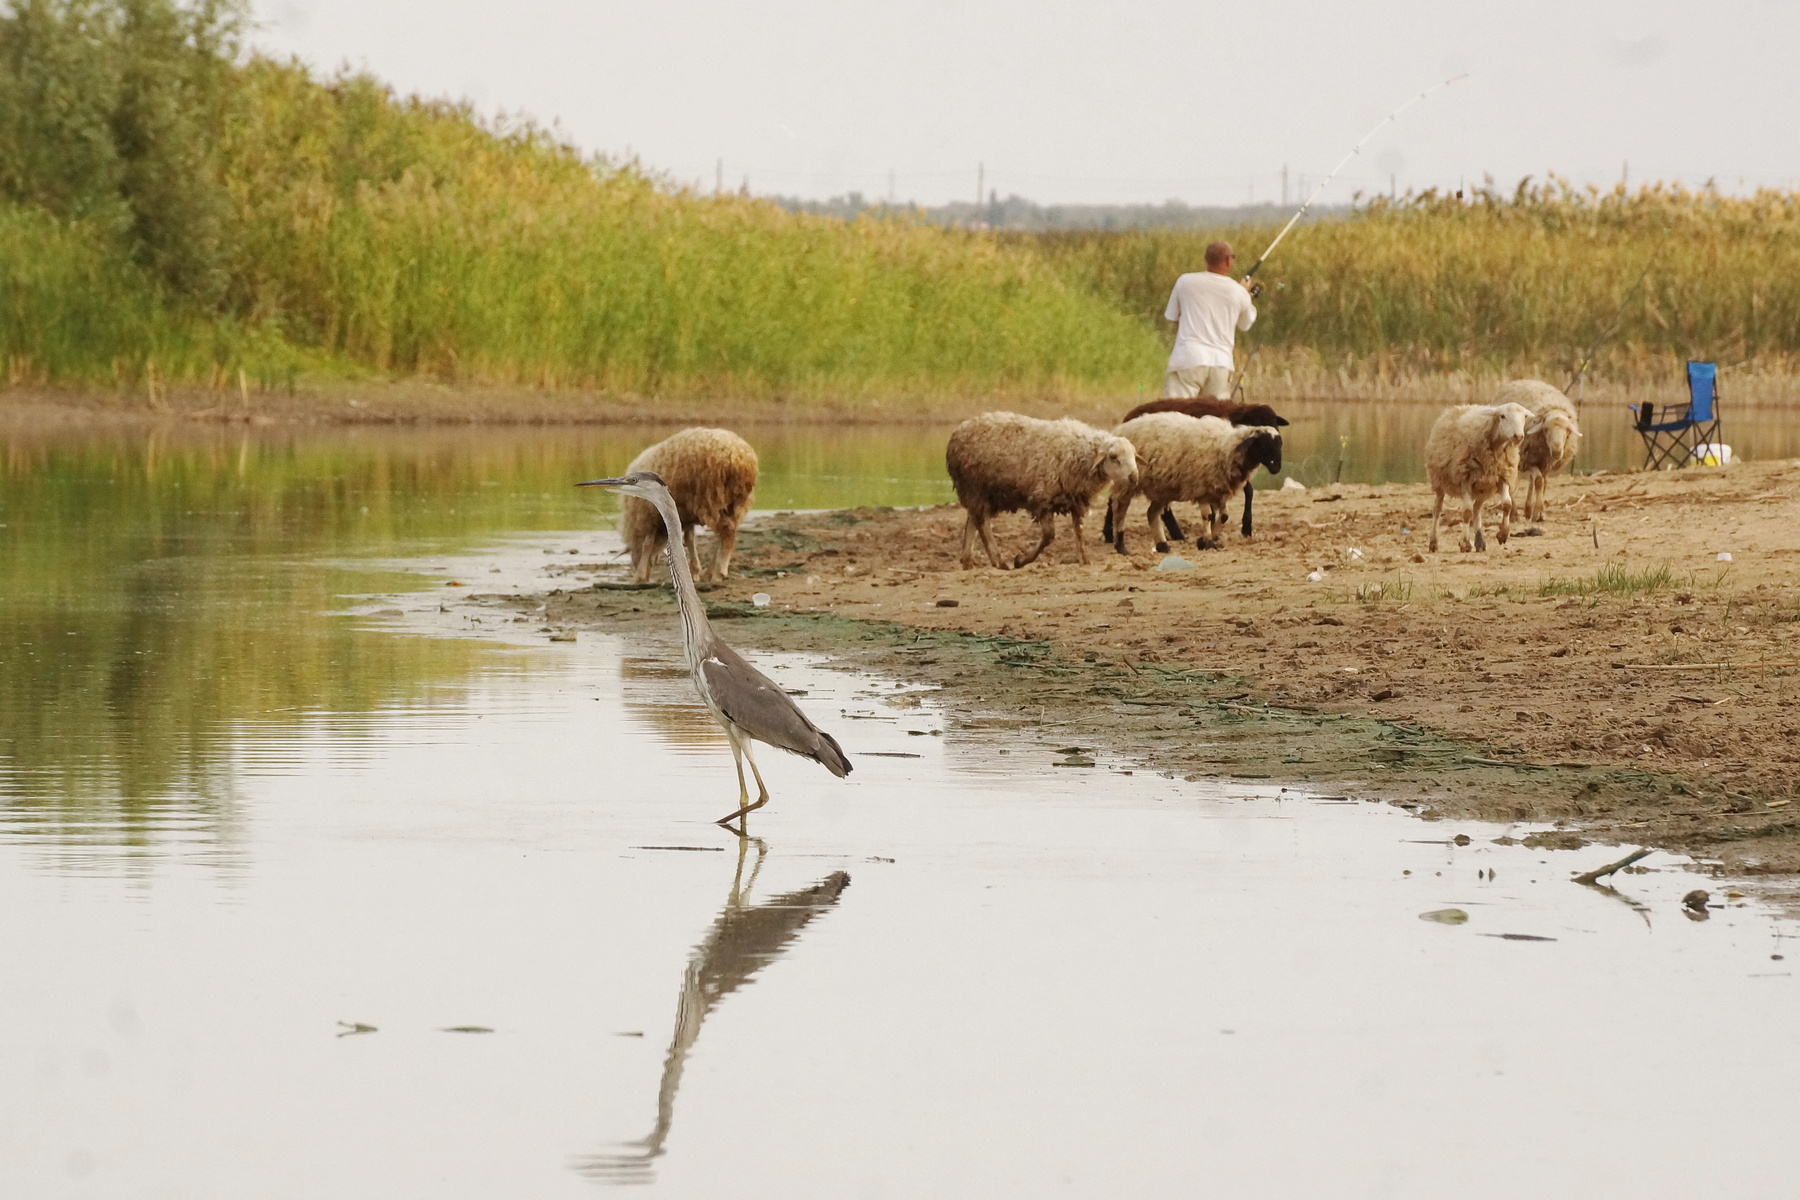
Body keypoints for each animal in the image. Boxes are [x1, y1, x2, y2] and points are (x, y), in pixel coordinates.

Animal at [619, 427, 758, 584]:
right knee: (728, 533)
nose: (646, 577)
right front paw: (695, 571)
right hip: (736, 503)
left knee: (727, 533)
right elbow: (689, 538)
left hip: (710, 497)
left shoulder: (649, 515)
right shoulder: (684, 514)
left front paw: (639, 576)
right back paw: (710, 572)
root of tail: (738, 457)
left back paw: (718, 573)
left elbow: (647, 543)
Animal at [945, 412, 1140, 569]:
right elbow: (1049, 536)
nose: (1134, 477)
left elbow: (1079, 532)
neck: (1080, 454)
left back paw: (968, 561)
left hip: (985, 494)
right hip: (975, 488)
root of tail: (958, 431)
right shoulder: (1043, 500)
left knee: (973, 520)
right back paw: (998, 561)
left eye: (1133, 454)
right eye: (1113, 457)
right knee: (982, 523)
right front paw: (1021, 560)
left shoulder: (1076, 500)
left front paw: (1084, 560)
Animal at [1106, 396, 1291, 543]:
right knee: (1116, 499)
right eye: (1256, 425)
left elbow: (1248, 492)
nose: (1276, 466)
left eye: (1275, 425)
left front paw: (1245, 528)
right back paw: (1110, 535)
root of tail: (1127, 418)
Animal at [1424, 402, 1540, 553]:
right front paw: (1465, 543)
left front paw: (1503, 534)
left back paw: (1479, 541)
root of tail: (1458, 407)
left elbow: (1507, 504)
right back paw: (1433, 542)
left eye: (1525, 417)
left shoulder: (1502, 476)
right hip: (1439, 480)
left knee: (1476, 508)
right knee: (1437, 509)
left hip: (1483, 486)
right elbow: (1466, 511)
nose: (1518, 436)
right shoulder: (1465, 479)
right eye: (1502, 416)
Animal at [1493, 379, 1583, 523]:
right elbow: (1539, 481)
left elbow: (1543, 483)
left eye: (1567, 430)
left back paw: (1527, 509)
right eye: (1545, 429)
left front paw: (1538, 512)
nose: (1557, 452)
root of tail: (1520, 381)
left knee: (1530, 481)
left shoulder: (1545, 463)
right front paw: (1537, 513)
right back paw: (1514, 515)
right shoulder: (1529, 461)